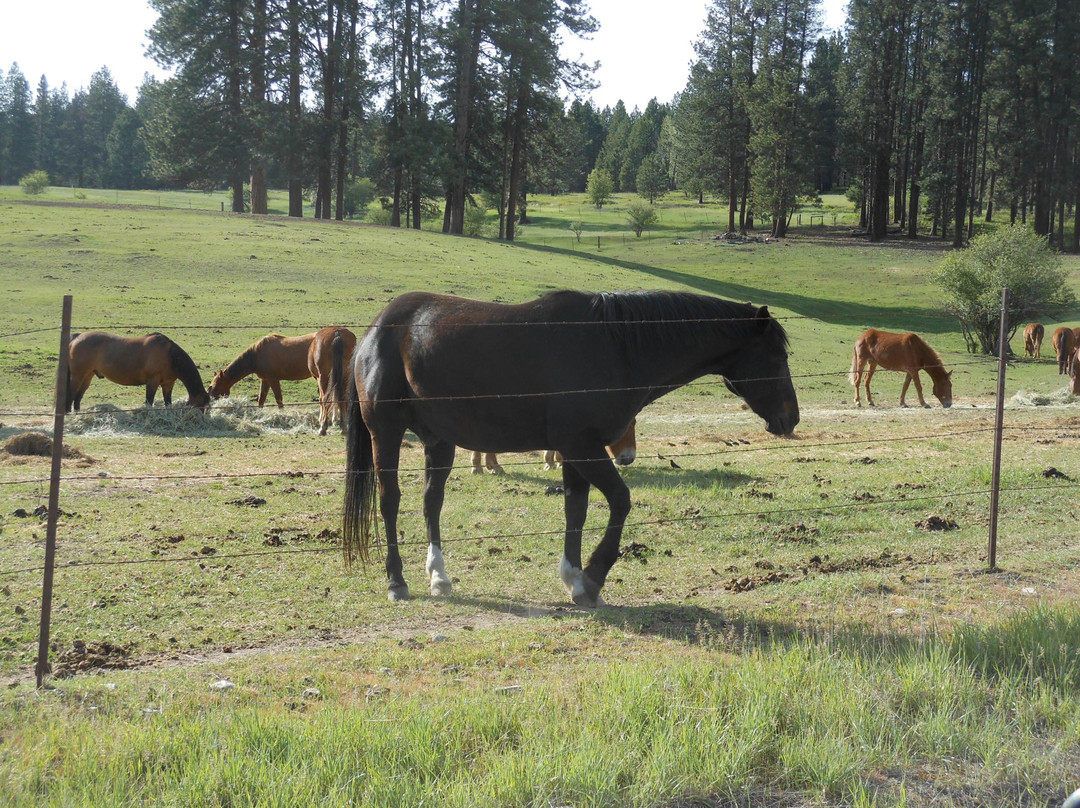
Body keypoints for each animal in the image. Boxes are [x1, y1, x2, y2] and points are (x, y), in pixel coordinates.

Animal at [68, 330, 212, 412]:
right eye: (202, 406)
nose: (202, 418)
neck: (169, 355)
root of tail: (77, 337)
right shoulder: (152, 381)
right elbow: (149, 400)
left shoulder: (168, 383)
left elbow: (168, 401)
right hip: (78, 376)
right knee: (71, 393)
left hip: (88, 375)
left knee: (78, 395)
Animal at [210, 326, 358, 436]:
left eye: (213, 386)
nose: (210, 400)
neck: (257, 353)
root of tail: (338, 334)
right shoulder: (265, 380)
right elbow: (261, 399)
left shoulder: (273, 379)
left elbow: (278, 399)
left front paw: (282, 415)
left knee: (327, 399)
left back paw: (326, 426)